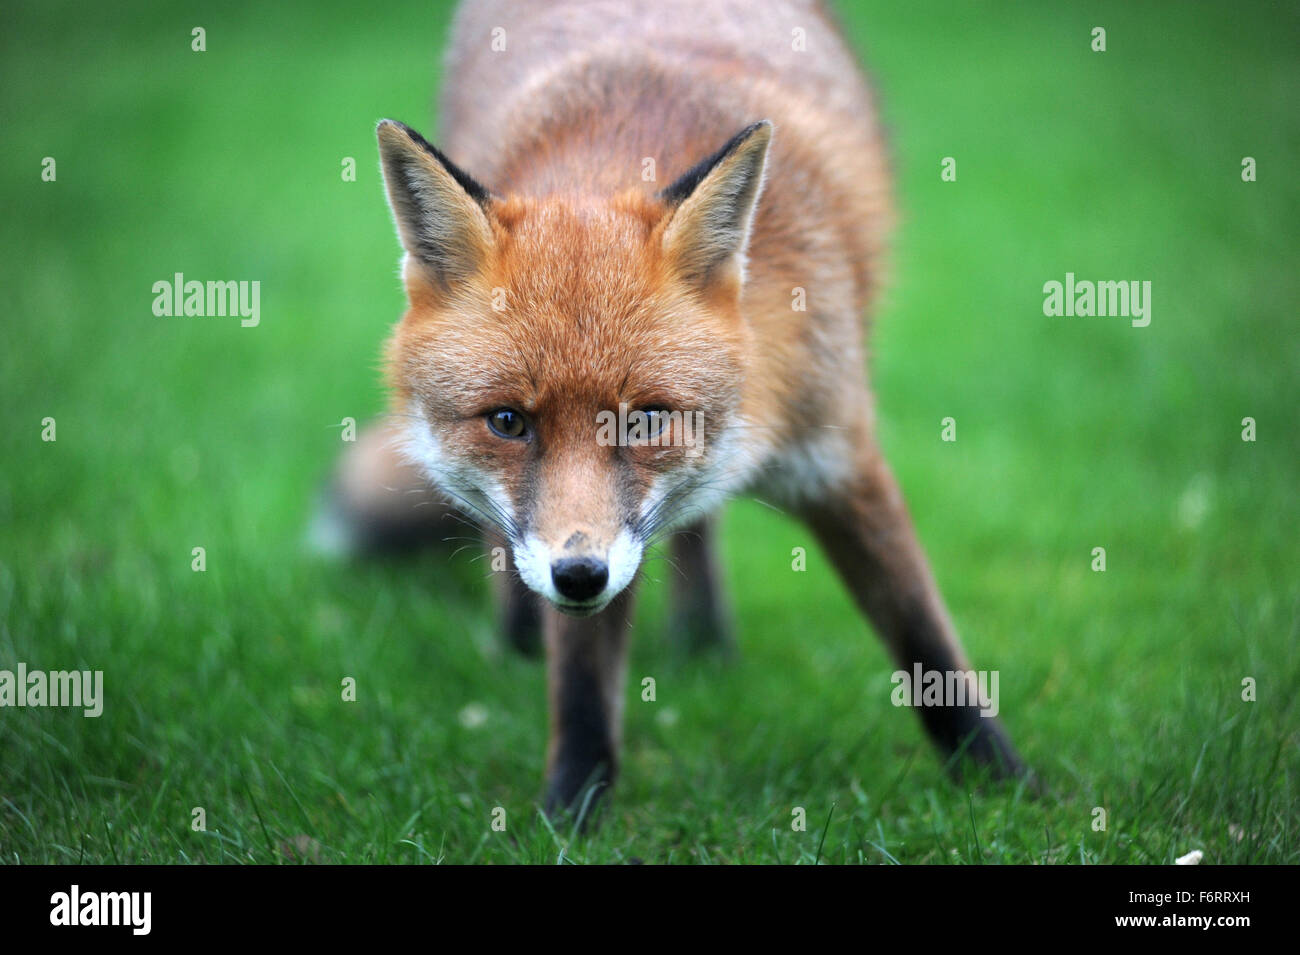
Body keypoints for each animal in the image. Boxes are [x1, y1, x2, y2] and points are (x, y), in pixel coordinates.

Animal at [330, 0, 1029, 815]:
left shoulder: (840, 455)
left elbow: (926, 642)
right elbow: (582, 684)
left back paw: (703, 643)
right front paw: (570, 811)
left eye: (645, 420)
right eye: (508, 422)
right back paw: (521, 641)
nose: (578, 576)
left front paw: (1009, 783)